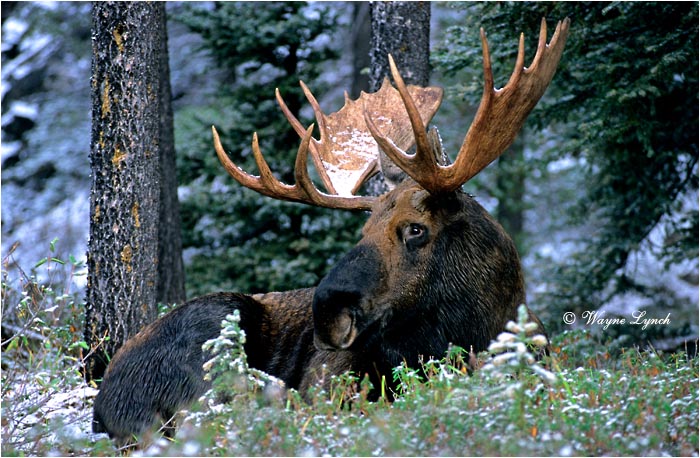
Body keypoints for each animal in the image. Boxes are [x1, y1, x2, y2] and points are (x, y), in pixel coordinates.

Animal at [92, 18, 570, 445]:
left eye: (416, 229)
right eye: (364, 229)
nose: (326, 311)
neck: (482, 326)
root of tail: (103, 401)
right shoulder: (326, 382)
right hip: (213, 333)